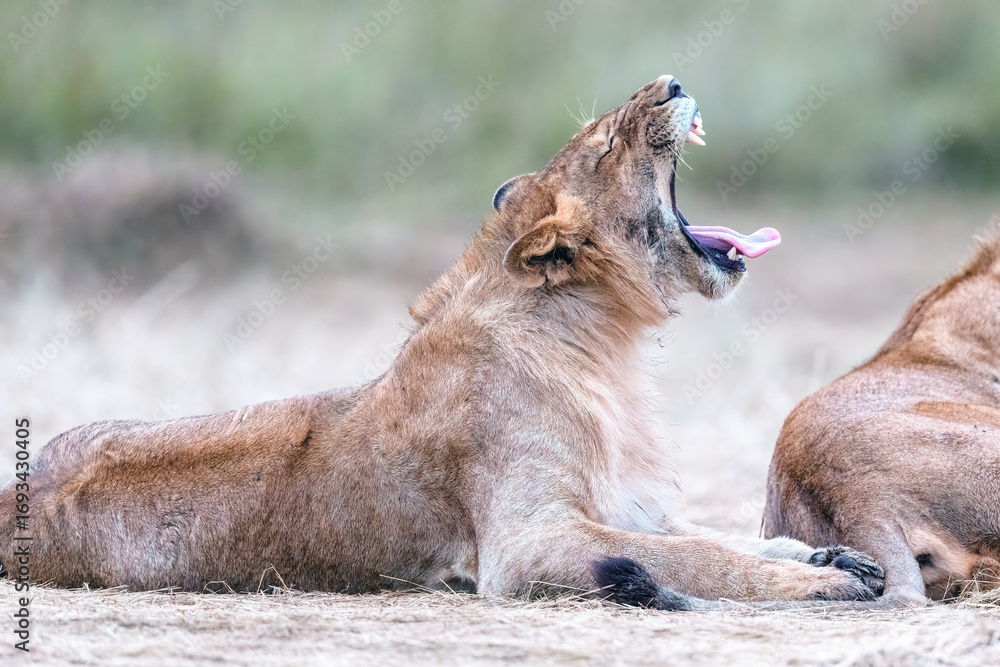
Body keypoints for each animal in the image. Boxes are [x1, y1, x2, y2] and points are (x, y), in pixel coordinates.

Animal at [1, 76, 883, 608]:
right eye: (607, 142)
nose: (670, 84)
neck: (603, 347)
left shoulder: (630, 507)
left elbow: (712, 538)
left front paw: (826, 558)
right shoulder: (528, 543)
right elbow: (698, 559)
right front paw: (823, 585)